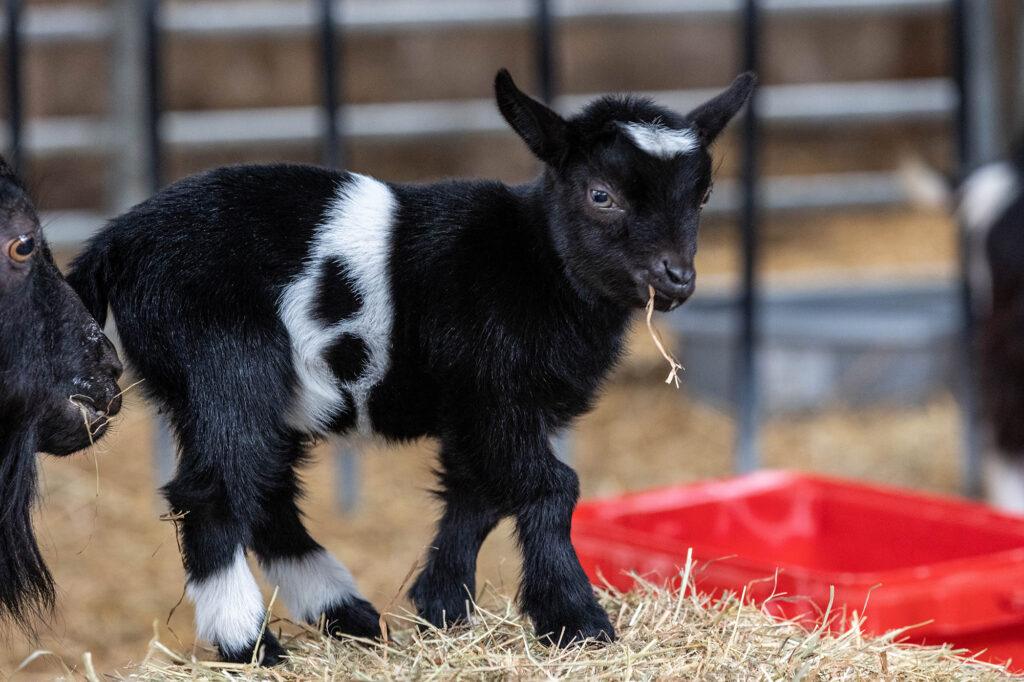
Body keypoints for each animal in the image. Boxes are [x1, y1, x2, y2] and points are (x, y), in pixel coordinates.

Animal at [68, 70, 755, 664]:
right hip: (225, 366)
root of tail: (116, 243)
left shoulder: (476, 410)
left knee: (264, 490)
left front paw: (443, 607)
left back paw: (346, 614)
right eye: (601, 195)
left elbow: (476, 496)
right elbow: (551, 488)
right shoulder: (496, 393)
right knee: (211, 492)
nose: (676, 278)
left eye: (702, 196)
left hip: (211, 390)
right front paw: (576, 622)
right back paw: (251, 644)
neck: (535, 262)